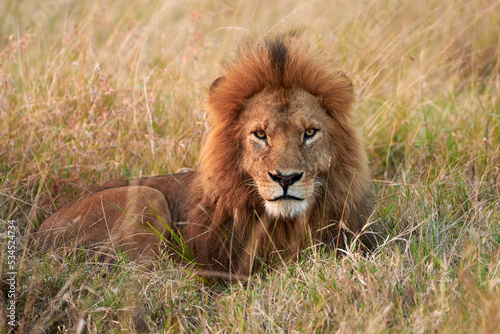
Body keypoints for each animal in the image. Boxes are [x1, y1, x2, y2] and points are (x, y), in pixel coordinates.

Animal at [35, 37, 378, 280]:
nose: (285, 178)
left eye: (309, 132)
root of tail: (35, 237)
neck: (285, 222)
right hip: (146, 197)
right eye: (260, 134)